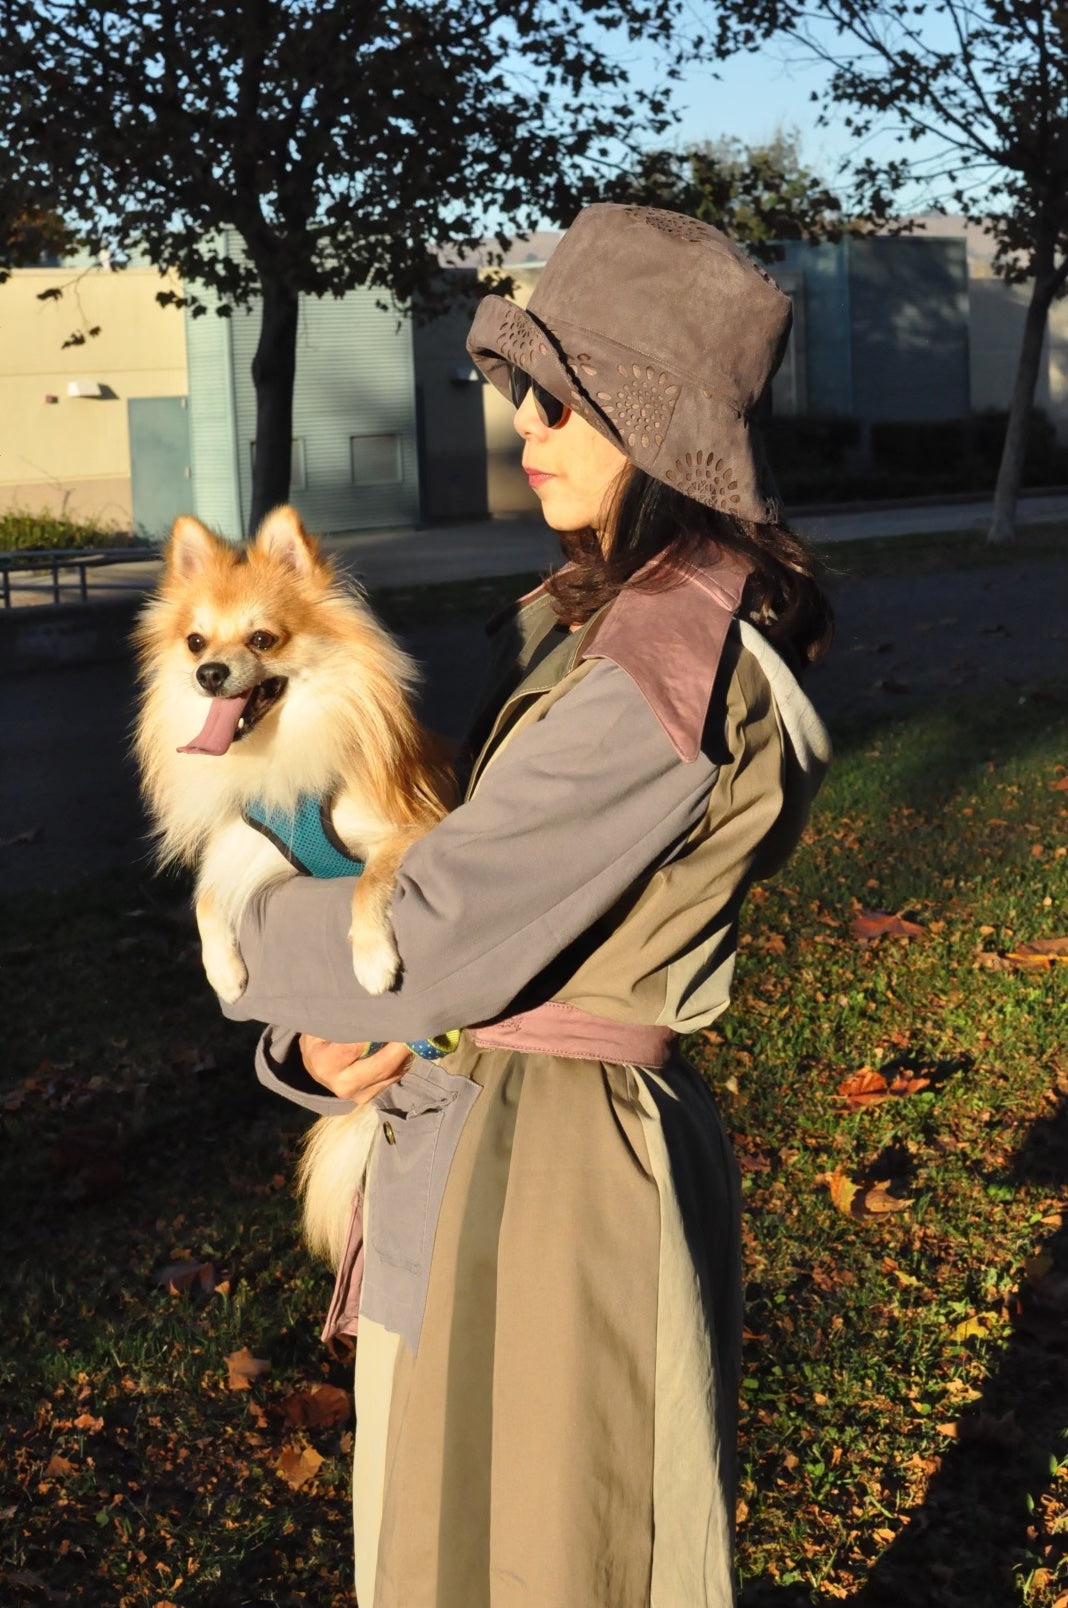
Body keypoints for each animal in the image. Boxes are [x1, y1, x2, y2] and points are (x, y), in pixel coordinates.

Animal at [133, 508, 453, 1260]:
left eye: (262, 639)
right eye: (195, 641)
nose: (209, 672)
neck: (279, 749)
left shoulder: (410, 829)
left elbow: (369, 880)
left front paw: (372, 960)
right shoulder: (250, 853)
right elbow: (207, 899)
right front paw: (223, 972)